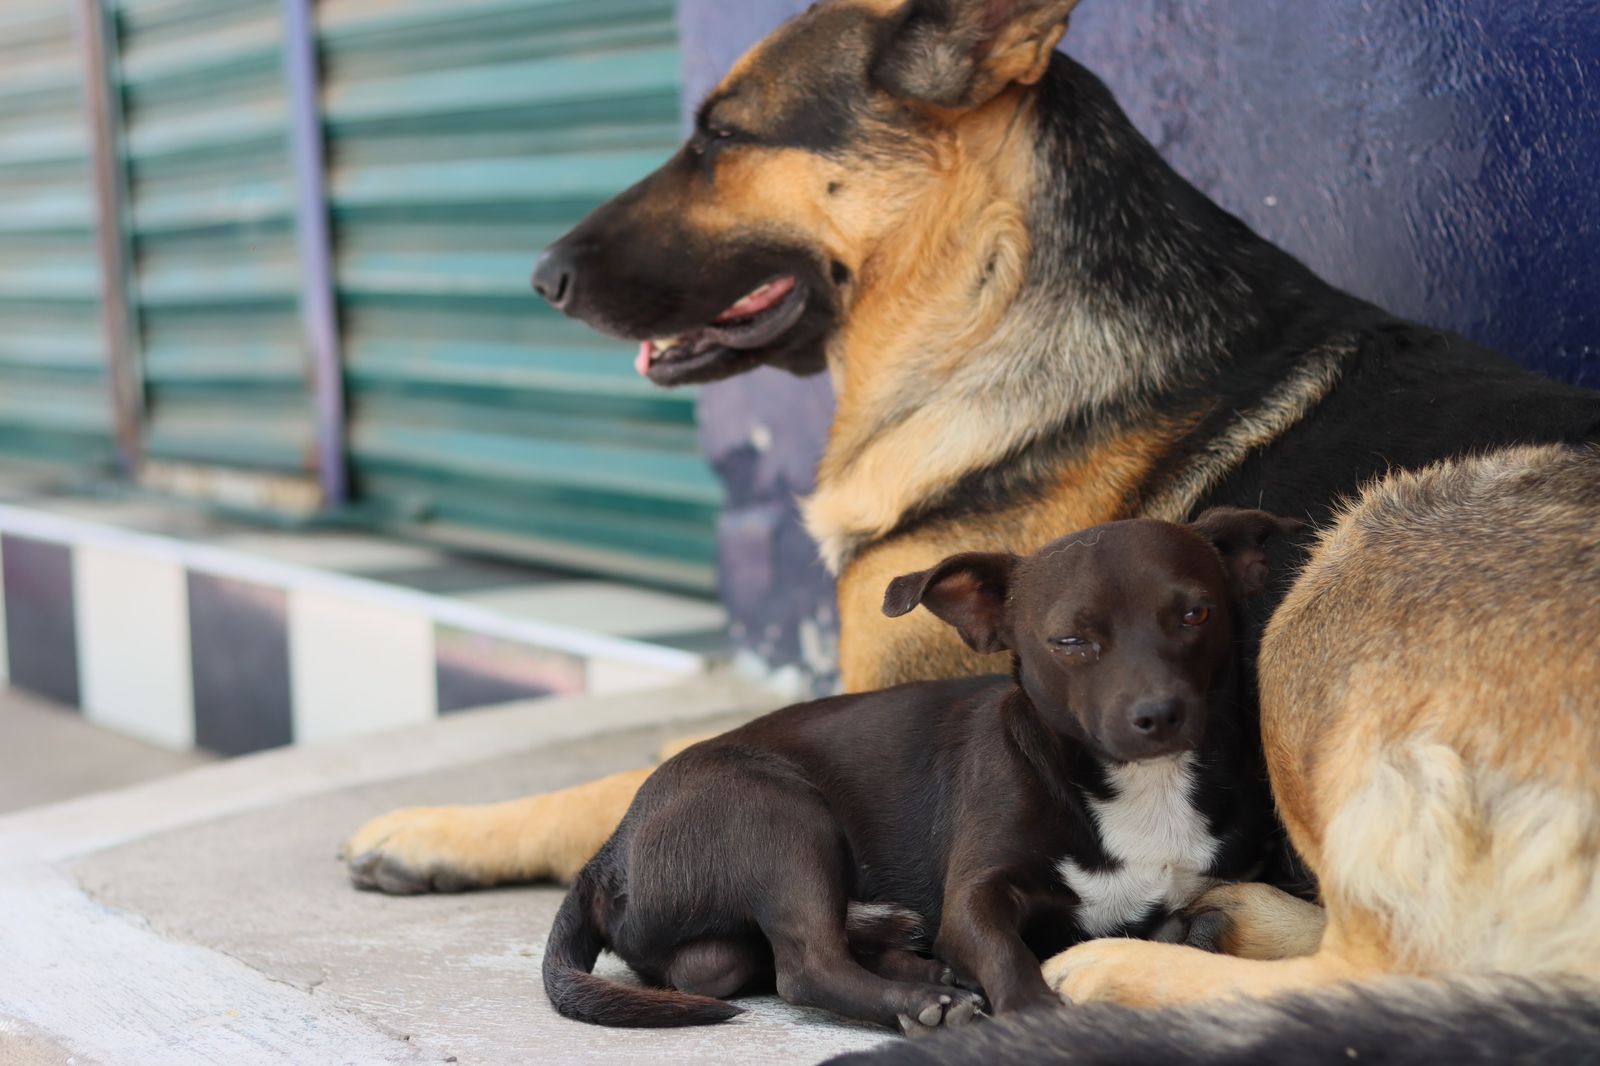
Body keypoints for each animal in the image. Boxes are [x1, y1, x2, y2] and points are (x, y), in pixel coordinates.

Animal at [347, 0, 1600, 1043]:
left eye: (719, 136)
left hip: (1344, 568)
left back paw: (1127, 968)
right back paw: (1214, 913)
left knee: (1387, 965)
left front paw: (435, 828)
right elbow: (649, 761)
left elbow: (625, 779)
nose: (541, 275)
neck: (991, 293)